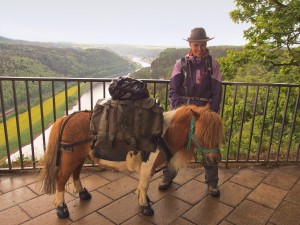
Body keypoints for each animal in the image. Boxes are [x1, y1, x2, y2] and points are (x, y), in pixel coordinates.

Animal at [38, 104, 223, 219]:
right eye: (203, 134)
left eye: (217, 134)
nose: (216, 159)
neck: (163, 134)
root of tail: (67, 118)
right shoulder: (148, 165)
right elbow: (145, 184)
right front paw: (145, 207)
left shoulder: (146, 167)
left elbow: (142, 185)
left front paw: (143, 199)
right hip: (71, 156)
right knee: (61, 179)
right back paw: (61, 207)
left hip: (80, 156)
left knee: (76, 173)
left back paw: (82, 193)